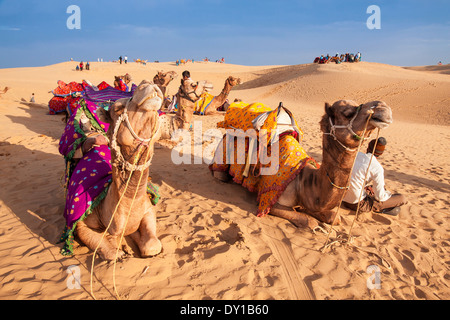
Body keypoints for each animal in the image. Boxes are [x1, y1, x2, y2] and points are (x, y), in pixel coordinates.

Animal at [210, 100, 390, 228]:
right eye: (348, 113)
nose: (383, 108)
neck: (303, 181)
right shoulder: (269, 200)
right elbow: (310, 222)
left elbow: (334, 217)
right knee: (219, 174)